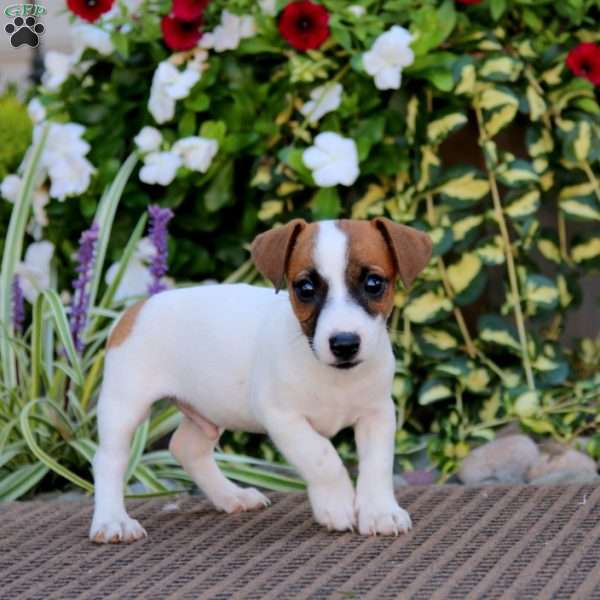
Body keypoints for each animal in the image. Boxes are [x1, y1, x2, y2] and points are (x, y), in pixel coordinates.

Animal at [89, 217, 432, 544]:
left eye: (374, 284)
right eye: (305, 288)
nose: (344, 343)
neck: (334, 376)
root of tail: (137, 308)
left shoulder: (378, 415)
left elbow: (377, 466)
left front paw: (380, 512)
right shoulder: (283, 419)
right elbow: (322, 456)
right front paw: (336, 504)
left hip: (209, 409)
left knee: (187, 448)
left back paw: (231, 495)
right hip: (124, 407)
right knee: (108, 460)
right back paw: (112, 521)